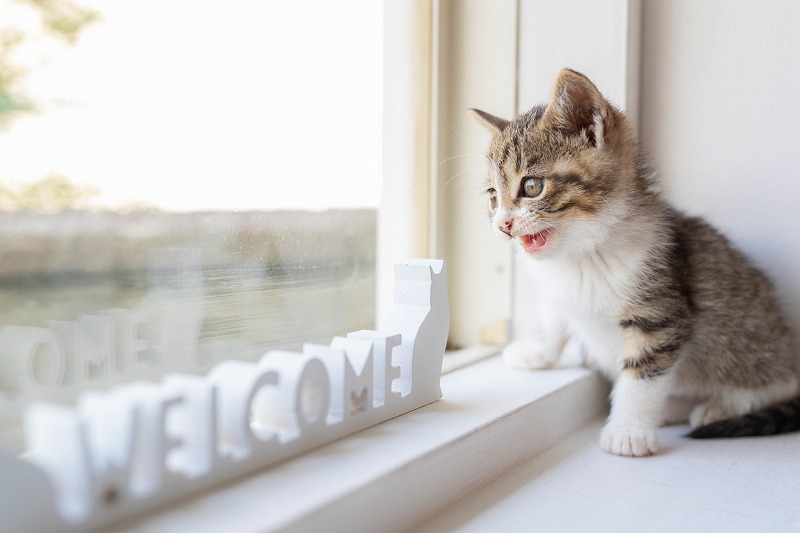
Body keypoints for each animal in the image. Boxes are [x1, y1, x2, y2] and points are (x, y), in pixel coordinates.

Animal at [468, 68, 800, 456]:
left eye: (532, 187)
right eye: (493, 197)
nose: (502, 224)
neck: (584, 253)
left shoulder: (659, 310)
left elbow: (642, 372)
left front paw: (628, 431)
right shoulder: (561, 287)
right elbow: (553, 315)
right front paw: (536, 352)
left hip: (752, 349)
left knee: (773, 384)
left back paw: (718, 407)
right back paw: (675, 407)